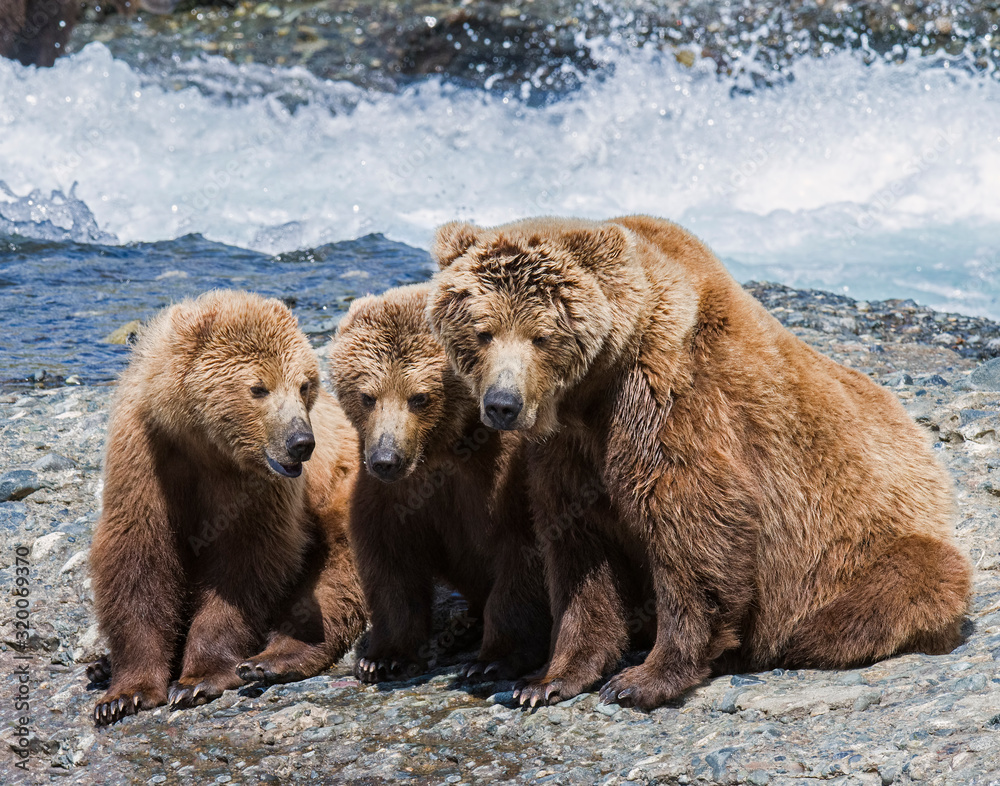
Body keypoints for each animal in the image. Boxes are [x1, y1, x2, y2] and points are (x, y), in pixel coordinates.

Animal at [88, 290, 367, 726]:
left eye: (304, 385)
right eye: (259, 388)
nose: (301, 442)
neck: (202, 443)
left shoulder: (254, 488)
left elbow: (244, 562)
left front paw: (198, 680)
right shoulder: (144, 456)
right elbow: (138, 557)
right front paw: (124, 694)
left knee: (331, 585)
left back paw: (269, 659)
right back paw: (100, 665)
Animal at [328, 283, 550, 683]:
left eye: (419, 397)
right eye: (367, 396)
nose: (386, 459)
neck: (443, 448)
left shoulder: (502, 476)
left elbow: (522, 552)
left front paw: (493, 659)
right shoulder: (393, 492)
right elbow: (389, 560)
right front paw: (382, 657)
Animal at [427, 214, 972, 710]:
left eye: (541, 335)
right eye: (483, 331)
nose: (503, 403)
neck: (591, 393)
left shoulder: (672, 400)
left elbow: (693, 524)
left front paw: (639, 680)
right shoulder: (569, 451)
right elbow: (578, 550)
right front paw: (545, 679)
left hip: (867, 549)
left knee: (908, 583)